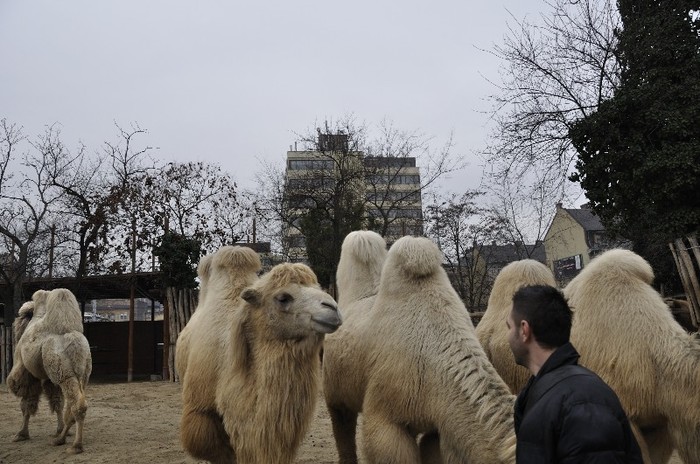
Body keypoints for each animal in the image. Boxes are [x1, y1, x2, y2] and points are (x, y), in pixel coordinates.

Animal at [7, 288, 93, 454]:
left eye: (21, 317)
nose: (16, 326)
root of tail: (74, 341)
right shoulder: (49, 379)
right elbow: (56, 401)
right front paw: (58, 429)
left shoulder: (27, 373)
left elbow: (26, 404)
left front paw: (21, 434)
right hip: (82, 373)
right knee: (72, 404)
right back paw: (60, 438)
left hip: (65, 375)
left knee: (77, 405)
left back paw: (75, 446)